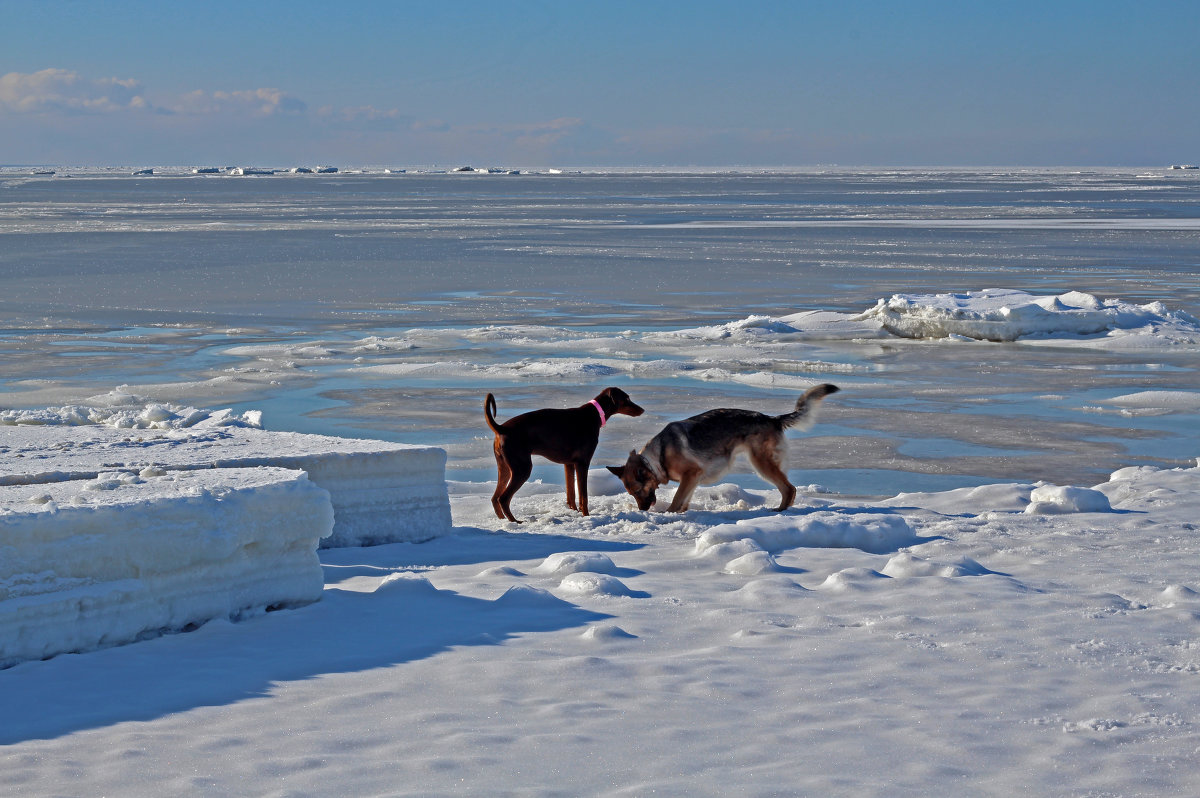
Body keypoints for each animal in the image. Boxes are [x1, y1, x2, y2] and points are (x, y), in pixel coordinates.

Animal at [482, 386, 643, 523]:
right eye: (627, 398)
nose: (642, 409)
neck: (593, 415)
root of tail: (501, 428)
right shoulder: (582, 463)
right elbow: (583, 496)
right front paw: (586, 516)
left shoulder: (569, 464)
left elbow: (571, 494)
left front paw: (574, 512)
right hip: (522, 469)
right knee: (503, 498)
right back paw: (515, 521)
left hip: (504, 468)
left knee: (494, 498)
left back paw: (502, 520)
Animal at [604, 384, 840, 511]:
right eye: (631, 493)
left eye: (637, 491)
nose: (643, 510)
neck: (658, 457)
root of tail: (772, 419)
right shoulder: (693, 479)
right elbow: (684, 501)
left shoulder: (692, 474)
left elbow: (676, 499)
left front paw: (667, 514)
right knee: (788, 488)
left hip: (761, 463)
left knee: (789, 488)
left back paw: (780, 511)